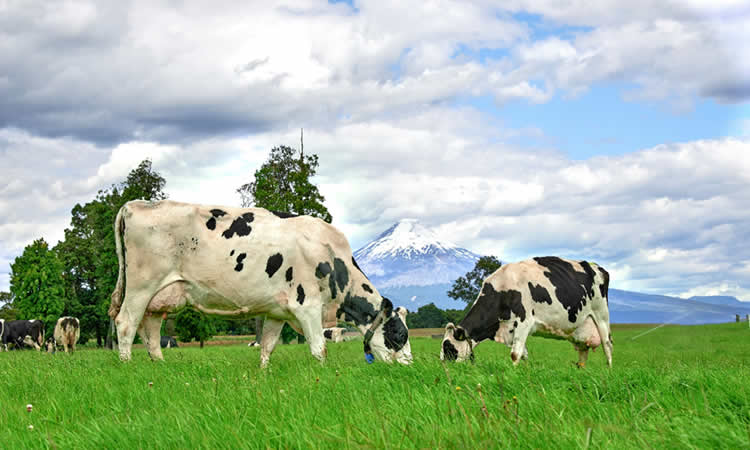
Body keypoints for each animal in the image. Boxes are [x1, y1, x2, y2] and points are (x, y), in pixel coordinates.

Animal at [108, 200, 414, 366]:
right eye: (399, 335)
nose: (409, 367)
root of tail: (134, 205)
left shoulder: (278, 312)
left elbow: (267, 346)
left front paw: (263, 374)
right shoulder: (307, 305)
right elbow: (319, 349)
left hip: (159, 298)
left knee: (151, 332)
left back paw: (160, 367)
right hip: (141, 287)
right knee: (126, 324)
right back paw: (127, 365)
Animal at [444, 256, 612, 370]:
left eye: (448, 348)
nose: (445, 368)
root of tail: (596, 267)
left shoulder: (524, 321)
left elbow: (515, 354)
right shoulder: (512, 329)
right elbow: (523, 354)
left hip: (601, 316)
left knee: (607, 346)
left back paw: (609, 372)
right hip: (582, 326)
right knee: (583, 353)